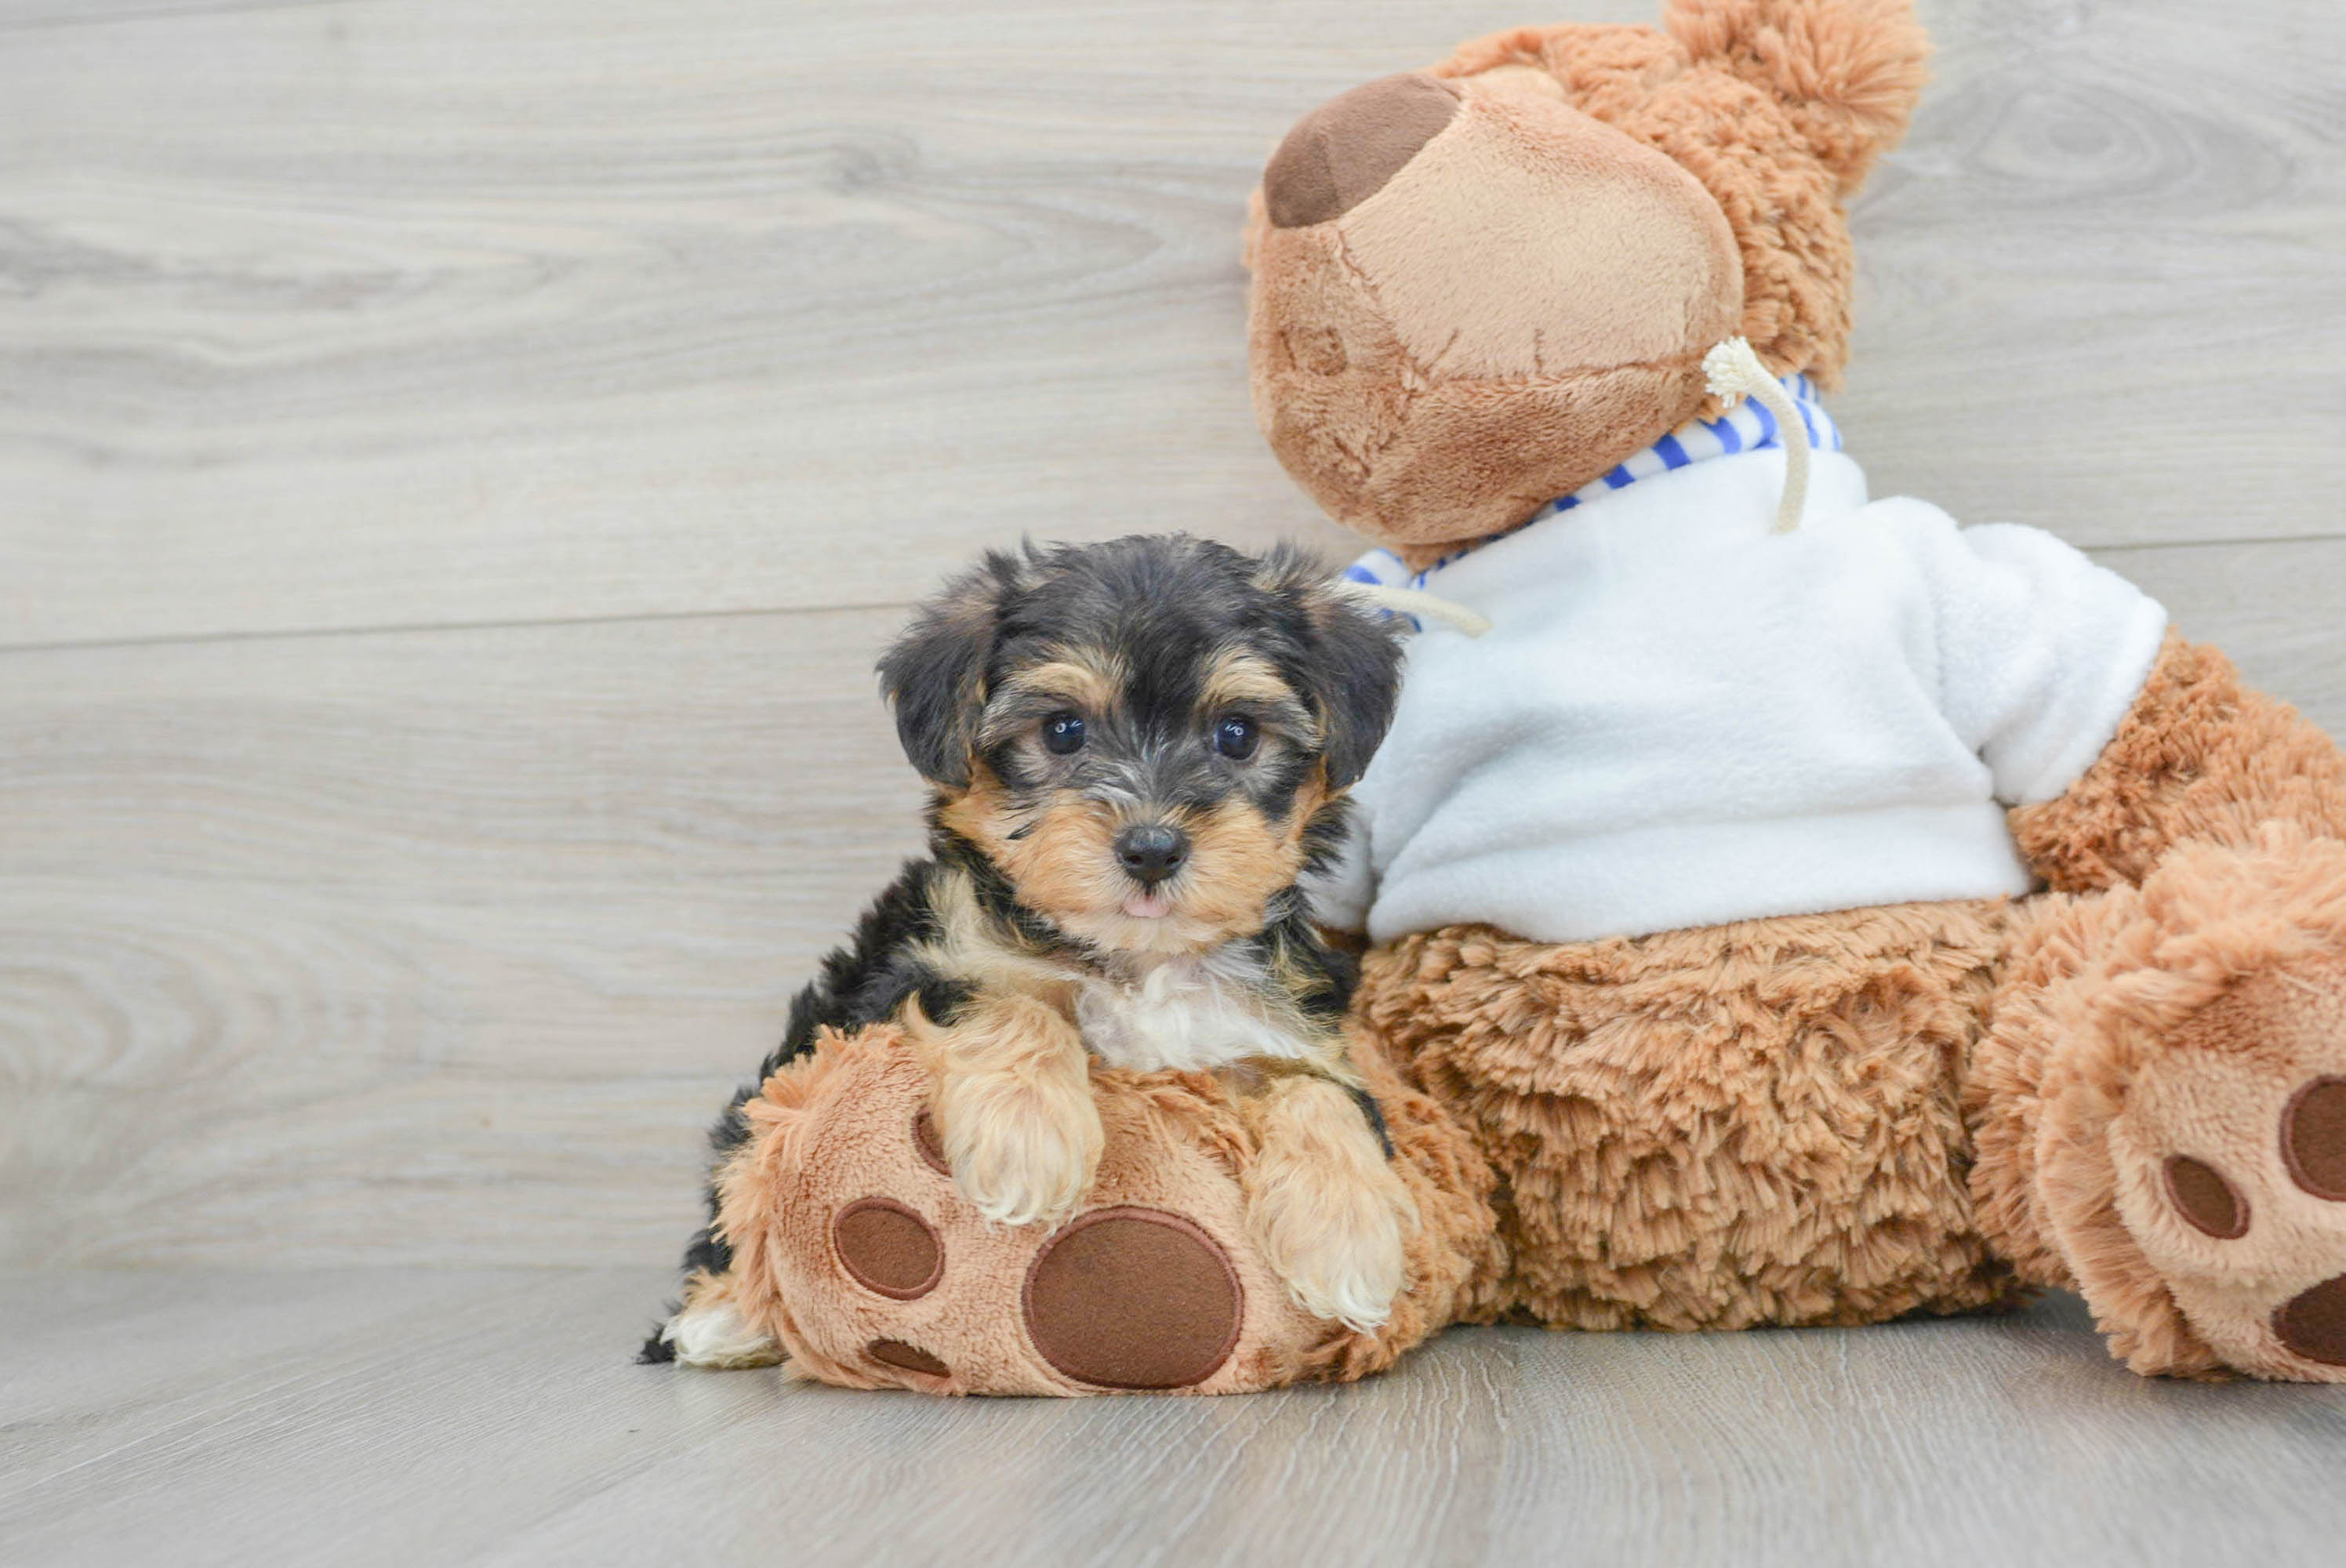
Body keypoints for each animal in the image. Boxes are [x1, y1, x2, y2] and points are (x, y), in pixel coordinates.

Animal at [642, 532, 1407, 1361]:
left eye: (1236, 734)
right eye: (1063, 730)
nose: (1152, 848)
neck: (1137, 961)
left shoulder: (1290, 1030)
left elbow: (1323, 1091)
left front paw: (1349, 1240)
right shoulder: (908, 970)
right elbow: (1005, 994)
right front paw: (1027, 1139)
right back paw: (722, 1318)